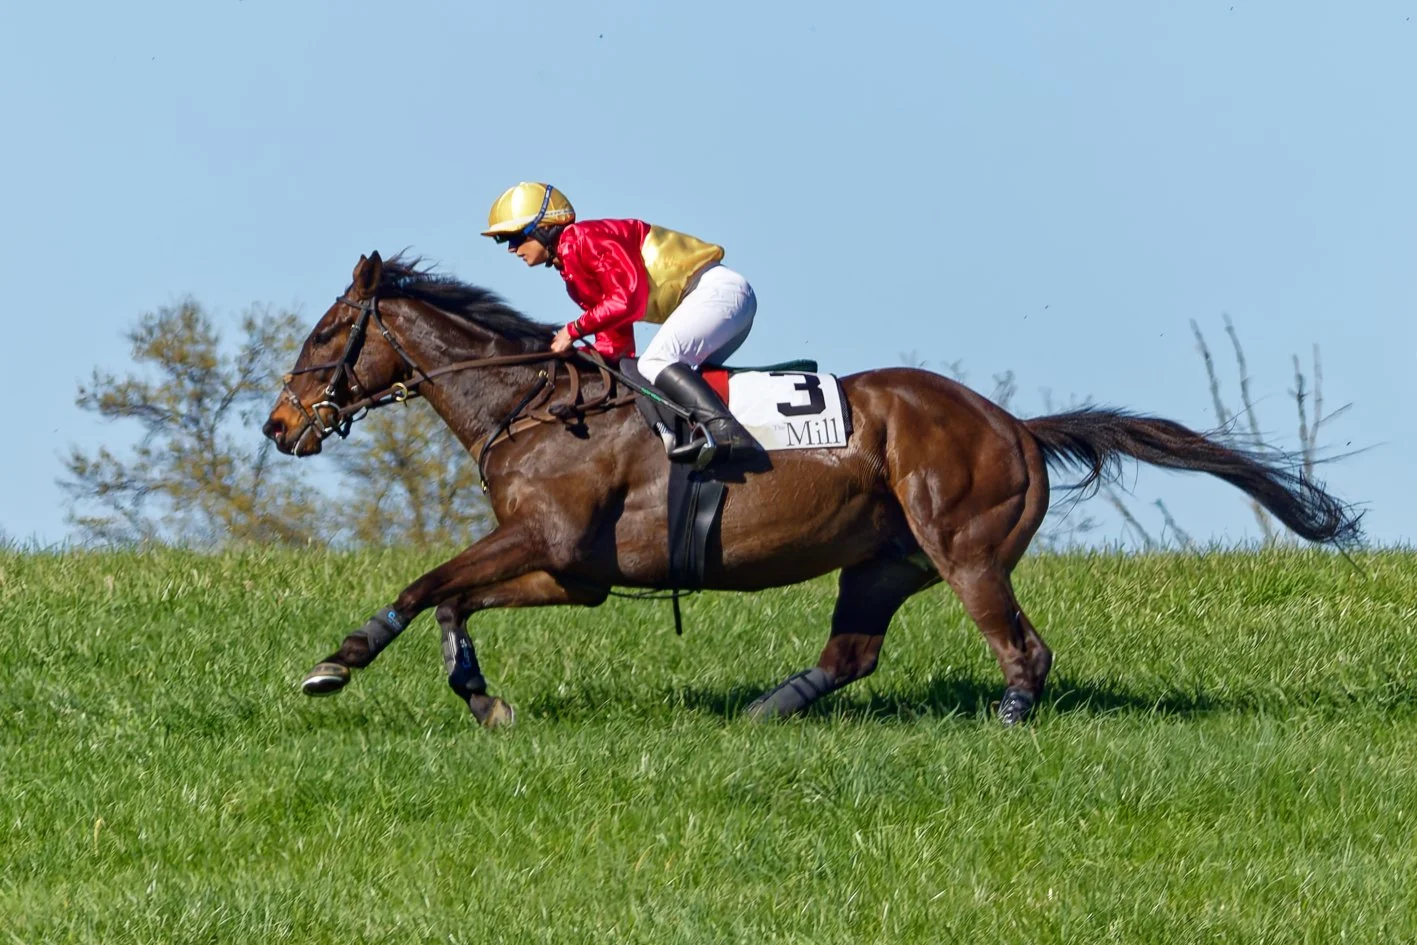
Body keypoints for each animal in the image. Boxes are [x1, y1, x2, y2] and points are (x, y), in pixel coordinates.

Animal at [262, 251, 1360, 727]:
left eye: (327, 334)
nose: (279, 427)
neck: (531, 403)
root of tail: (1015, 425)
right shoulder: (571, 572)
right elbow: (451, 598)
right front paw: (480, 698)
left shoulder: (554, 547)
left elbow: (421, 586)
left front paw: (335, 663)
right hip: (882, 561)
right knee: (850, 652)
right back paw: (763, 713)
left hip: (964, 548)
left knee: (1022, 649)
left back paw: (1006, 721)